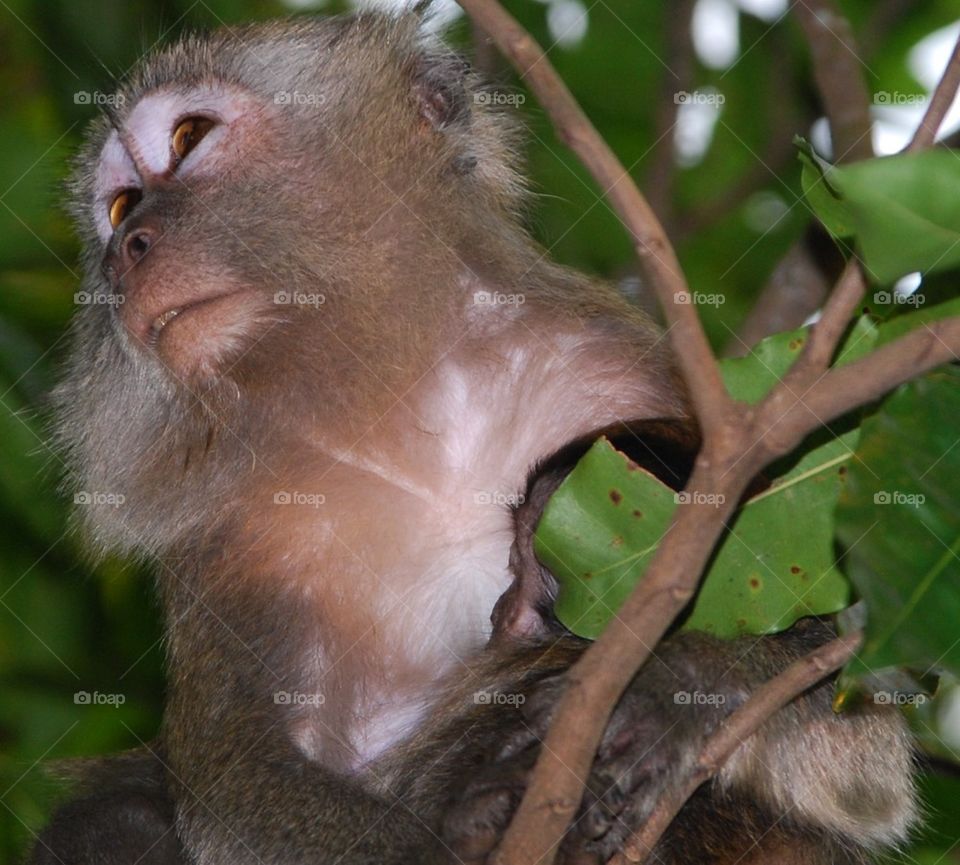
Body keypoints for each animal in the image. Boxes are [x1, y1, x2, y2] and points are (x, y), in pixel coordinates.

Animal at [30, 10, 916, 865]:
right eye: (118, 207)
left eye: (188, 137)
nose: (129, 250)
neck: (401, 400)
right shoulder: (225, 536)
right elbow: (235, 787)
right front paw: (448, 834)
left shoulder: (637, 373)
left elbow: (861, 755)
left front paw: (674, 680)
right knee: (117, 818)